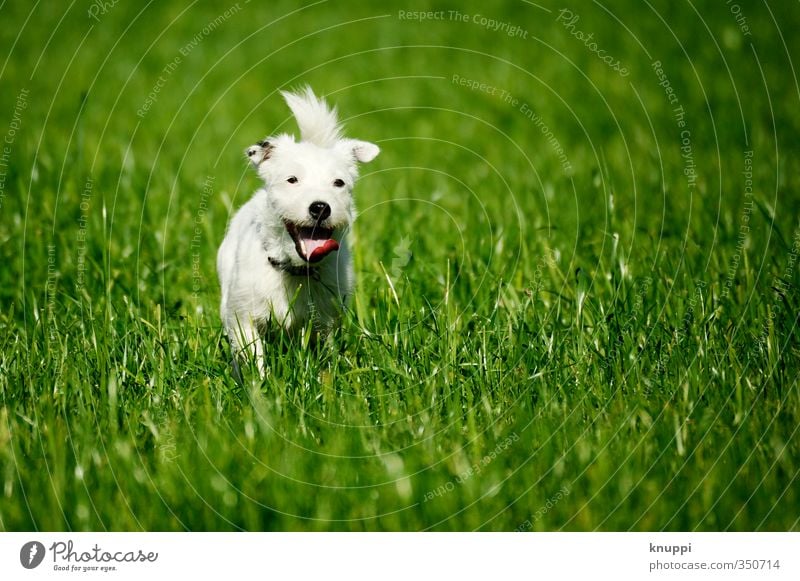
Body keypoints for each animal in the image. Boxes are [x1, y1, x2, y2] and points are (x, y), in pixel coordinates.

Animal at [217, 88, 380, 374]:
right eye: (292, 179)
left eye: (339, 182)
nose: (320, 207)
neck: (294, 270)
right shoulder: (242, 314)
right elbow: (253, 352)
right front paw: (259, 380)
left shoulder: (325, 318)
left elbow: (324, 351)